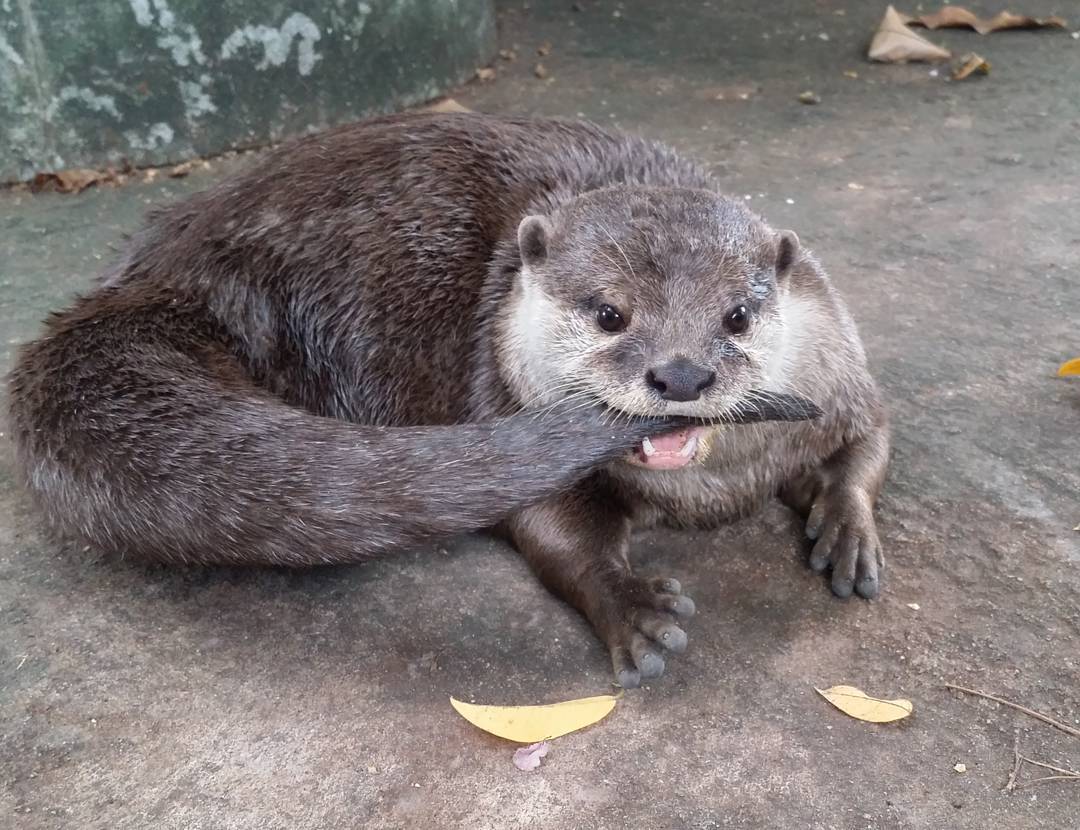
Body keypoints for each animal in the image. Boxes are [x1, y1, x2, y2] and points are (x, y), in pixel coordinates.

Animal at [6, 111, 885, 686]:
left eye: (737, 314)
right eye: (609, 312)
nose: (681, 376)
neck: (709, 494)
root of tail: (154, 274)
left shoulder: (844, 376)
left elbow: (868, 445)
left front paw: (846, 527)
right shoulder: (496, 392)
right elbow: (551, 527)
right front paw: (631, 607)